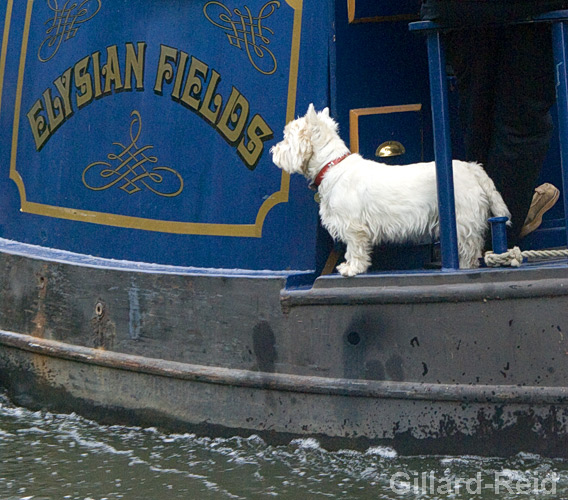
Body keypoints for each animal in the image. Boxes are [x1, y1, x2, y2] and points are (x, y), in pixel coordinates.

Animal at [270, 104, 510, 278]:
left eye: (287, 138)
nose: (273, 150)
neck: (332, 165)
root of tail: (472, 168)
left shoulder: (353, 226)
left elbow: (354, 248)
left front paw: (351, 268)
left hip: (462, 221)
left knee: (469, 251)